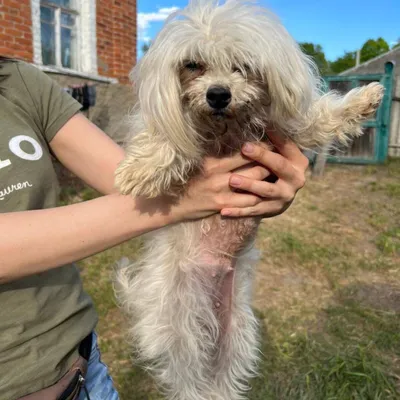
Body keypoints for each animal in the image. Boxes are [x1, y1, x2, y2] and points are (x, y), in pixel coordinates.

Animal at [111, 0, 384, 400]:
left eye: (243, 65)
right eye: (193, 65)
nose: (218, 94)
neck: (228, 126)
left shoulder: (285, 129)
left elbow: (322, 118)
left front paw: (365, 98)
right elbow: (167, 139)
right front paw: (139, 169)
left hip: (237, 337)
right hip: (178, 334)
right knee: (189, 380)